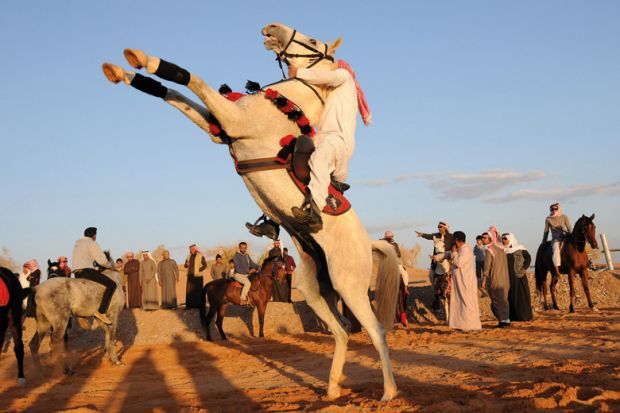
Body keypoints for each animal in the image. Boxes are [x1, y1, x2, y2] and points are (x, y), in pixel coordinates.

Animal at [103, 21, 398, 400]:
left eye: (312, 40)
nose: (271, 27)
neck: (285, 103)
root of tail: (368, 243)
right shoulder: (218, 128)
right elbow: (175, 95)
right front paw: (125, 69)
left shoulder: (233, 120)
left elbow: (190, 79)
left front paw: (142, 59)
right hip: (317, 289)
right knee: (342, 331)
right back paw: (333, 388)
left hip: (349, 285)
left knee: (375, 331)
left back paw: (389, 391)